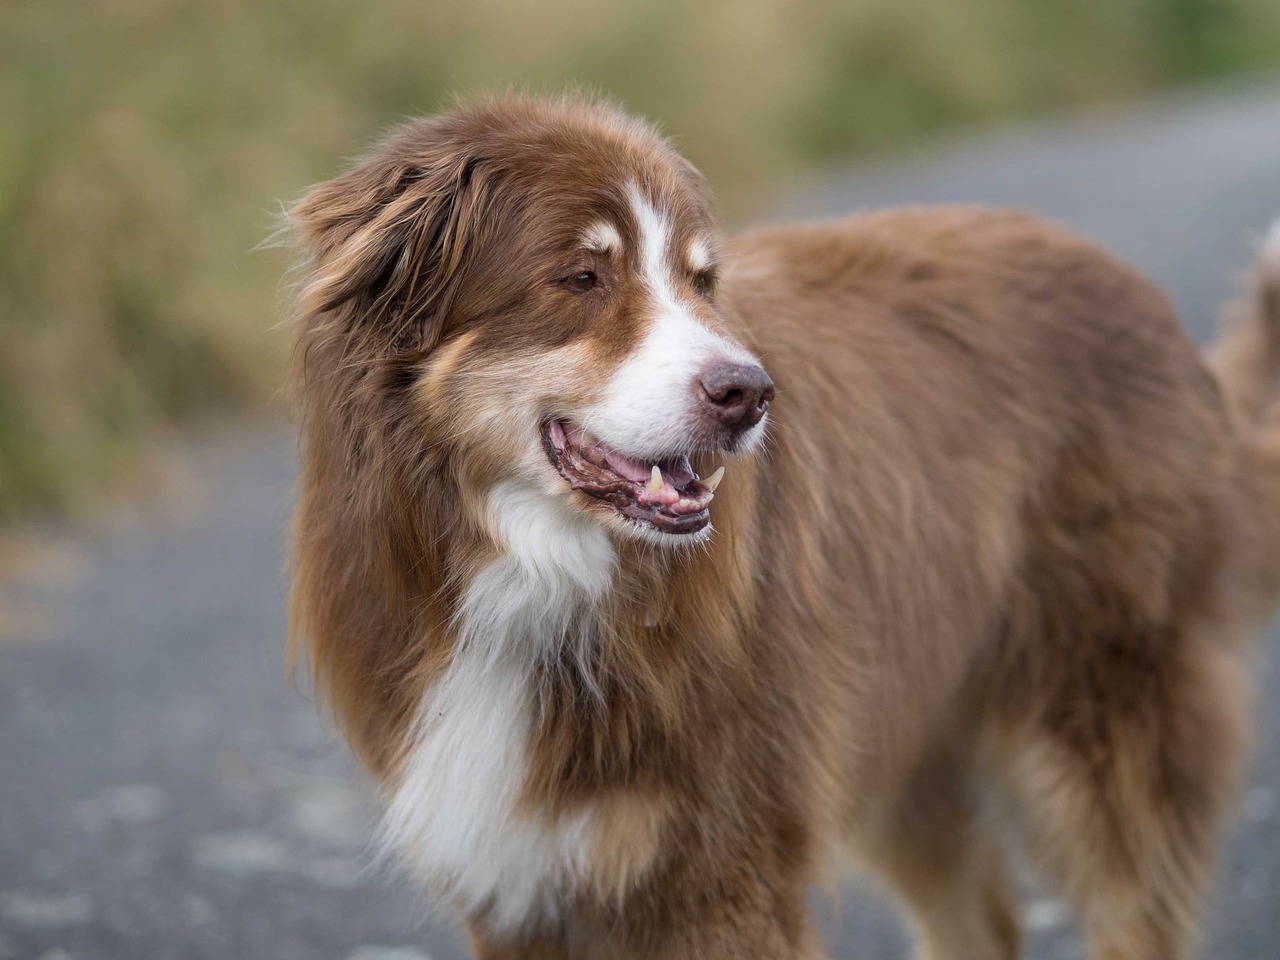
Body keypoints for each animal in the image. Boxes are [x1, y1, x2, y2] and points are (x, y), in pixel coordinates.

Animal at [285, 99, 1280, 960]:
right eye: (580, 277)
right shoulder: (517, 877)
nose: (749, 394)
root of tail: (1149, 305)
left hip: (1108, 711)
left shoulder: (725, 861)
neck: (534, 570)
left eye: (699, 280)